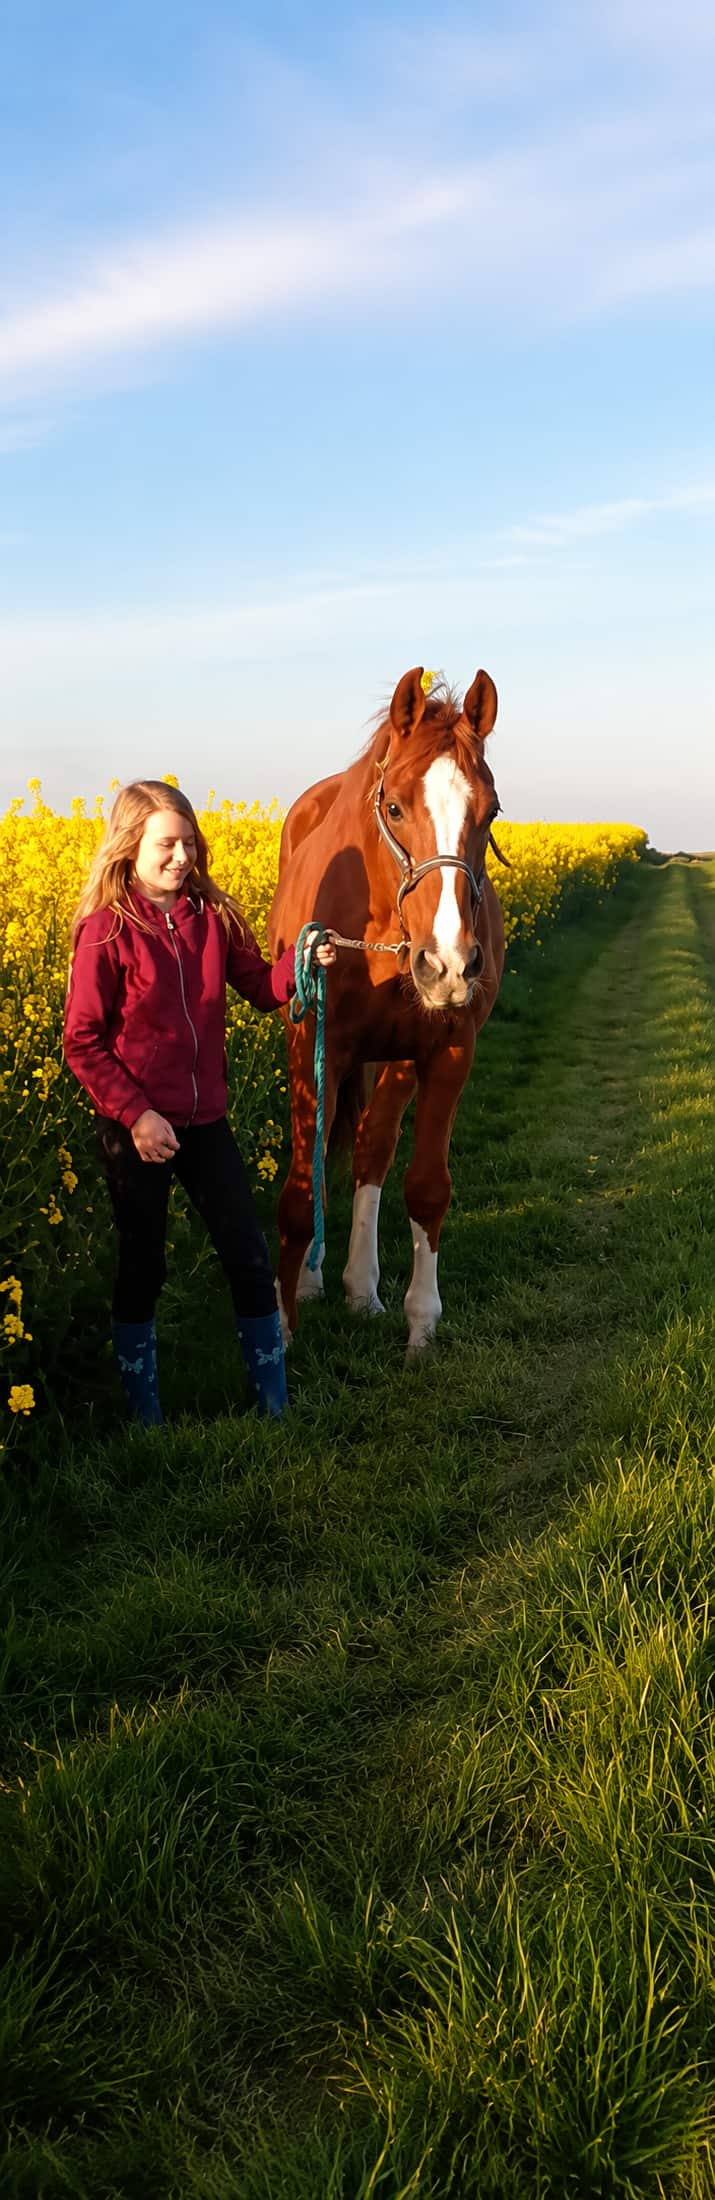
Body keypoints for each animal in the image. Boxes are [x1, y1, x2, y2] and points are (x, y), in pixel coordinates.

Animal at [267, 665, 505, 1356]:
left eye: (491, 811)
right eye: (395, 807)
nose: (449, 964)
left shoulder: (449, 1048)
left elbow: (425, 1188)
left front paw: (421, 1324)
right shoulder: (313, 1042)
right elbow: (302, 1186)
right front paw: (279, 1330)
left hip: (394, 1057)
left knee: (371, 1149)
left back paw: (359, 1288)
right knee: (328, 1154)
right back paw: (314, 1282)